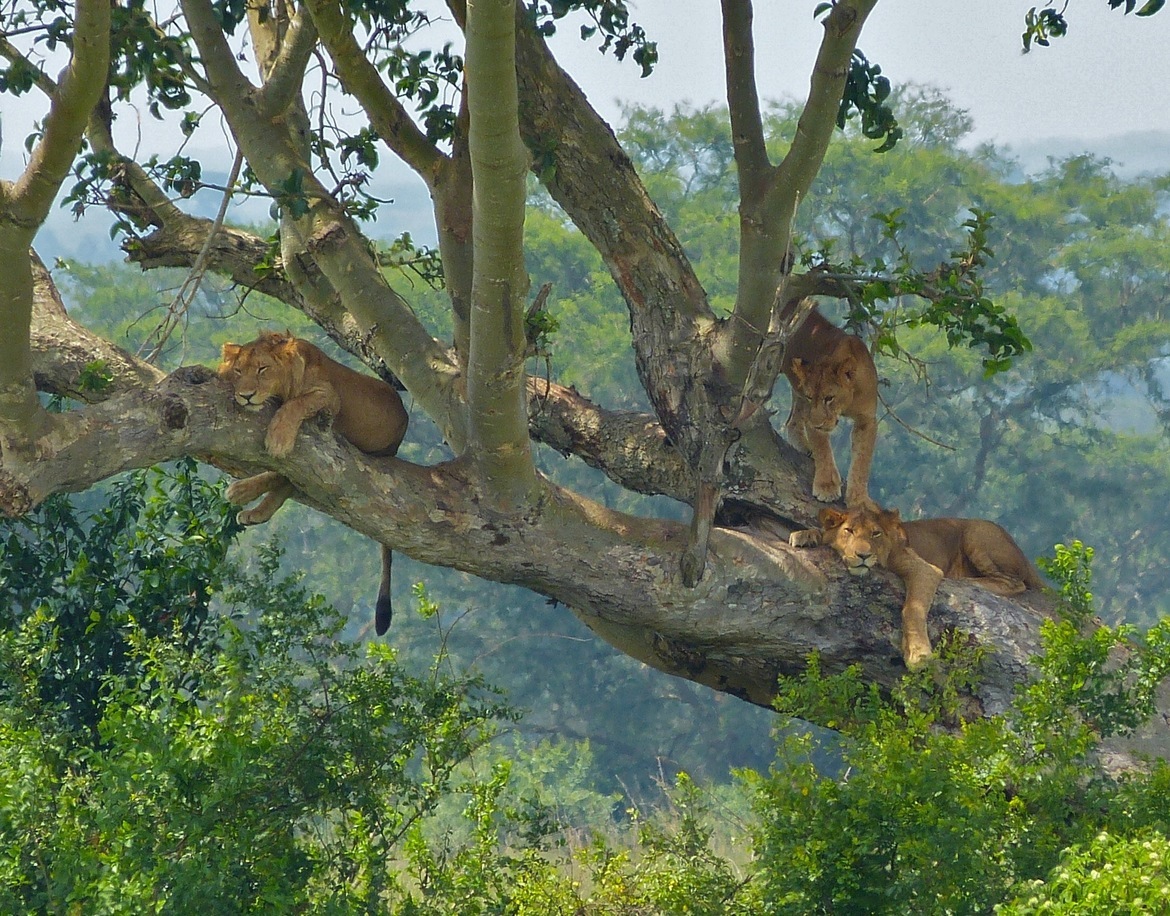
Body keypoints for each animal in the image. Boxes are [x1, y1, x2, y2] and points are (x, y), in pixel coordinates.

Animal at [218, 331, 408, 635]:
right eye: (238, 371)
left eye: (262, 369)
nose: (246, 396)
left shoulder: (328, 396)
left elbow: (295, 405)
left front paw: (278, 439)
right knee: (288, 480)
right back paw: (252, 507)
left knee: (287, 476)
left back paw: (242, 492)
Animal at [781, 300, 879, 507]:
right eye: (811, 397)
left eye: (829, 398)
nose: (817, 422)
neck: (847, 401)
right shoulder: (811, 414)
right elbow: (823, 450)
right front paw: (826, 487)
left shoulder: (867, 419)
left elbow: (862, 460)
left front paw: (859, 499)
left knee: (792, 421)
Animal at [789, 504, 1044, 669]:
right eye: (849, 531)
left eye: (875, 533)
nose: (863, 555)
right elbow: (821, 532)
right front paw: (804, 535)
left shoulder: (924, 569)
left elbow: (912, 608)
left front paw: (917, 653)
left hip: (976, 534)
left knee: (1015, 583)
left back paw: (963, 580)